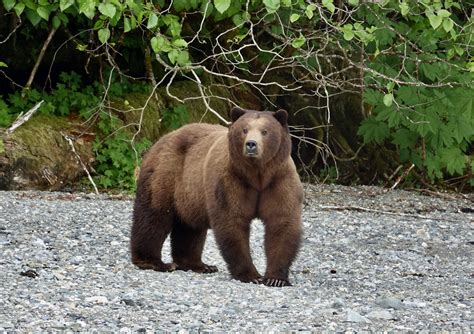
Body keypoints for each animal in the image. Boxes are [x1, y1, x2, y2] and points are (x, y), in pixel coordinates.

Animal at [130, 107, 302, 288]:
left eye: (265, 131)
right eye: (244, 129)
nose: (251, 144)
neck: (257, 175)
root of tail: (161, 139)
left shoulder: (279, 180)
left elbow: (282, 222)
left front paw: (276, 278)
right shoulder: (230, 180)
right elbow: (232, 221)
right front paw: (251, 275)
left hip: (190, 193)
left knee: (190, 227)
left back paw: (199, 265)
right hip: (166, 173)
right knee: (153, 216)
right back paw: (155, 262)